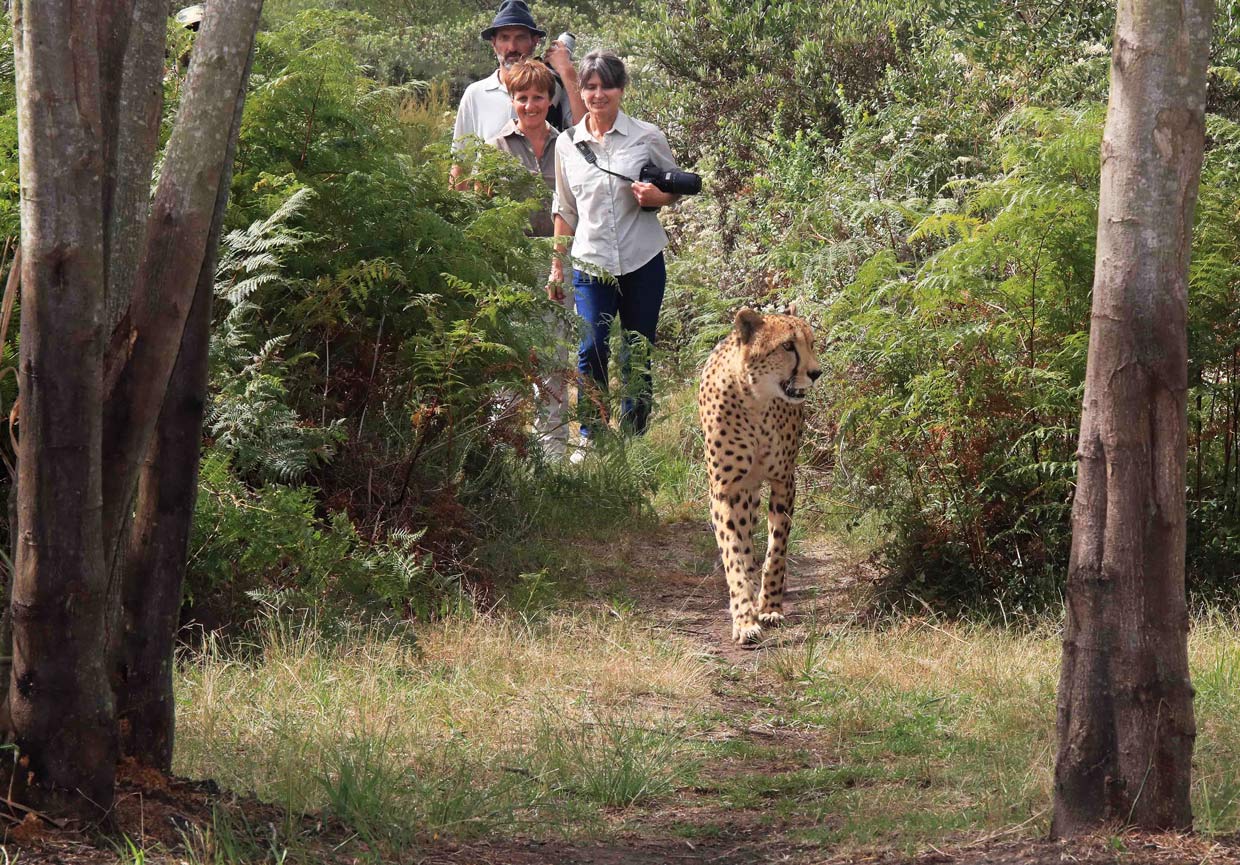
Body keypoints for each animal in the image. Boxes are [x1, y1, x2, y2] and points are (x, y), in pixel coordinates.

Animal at [698, 307, 822, 645]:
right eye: (788, 346)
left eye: (811, 343)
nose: (816, 373)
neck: (755, 400)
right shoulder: (724, 490)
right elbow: (734, 553)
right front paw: (744, 618)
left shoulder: (784, 480)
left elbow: (777, 548)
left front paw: (770, 607)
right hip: (744, 491)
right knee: (744, 539)